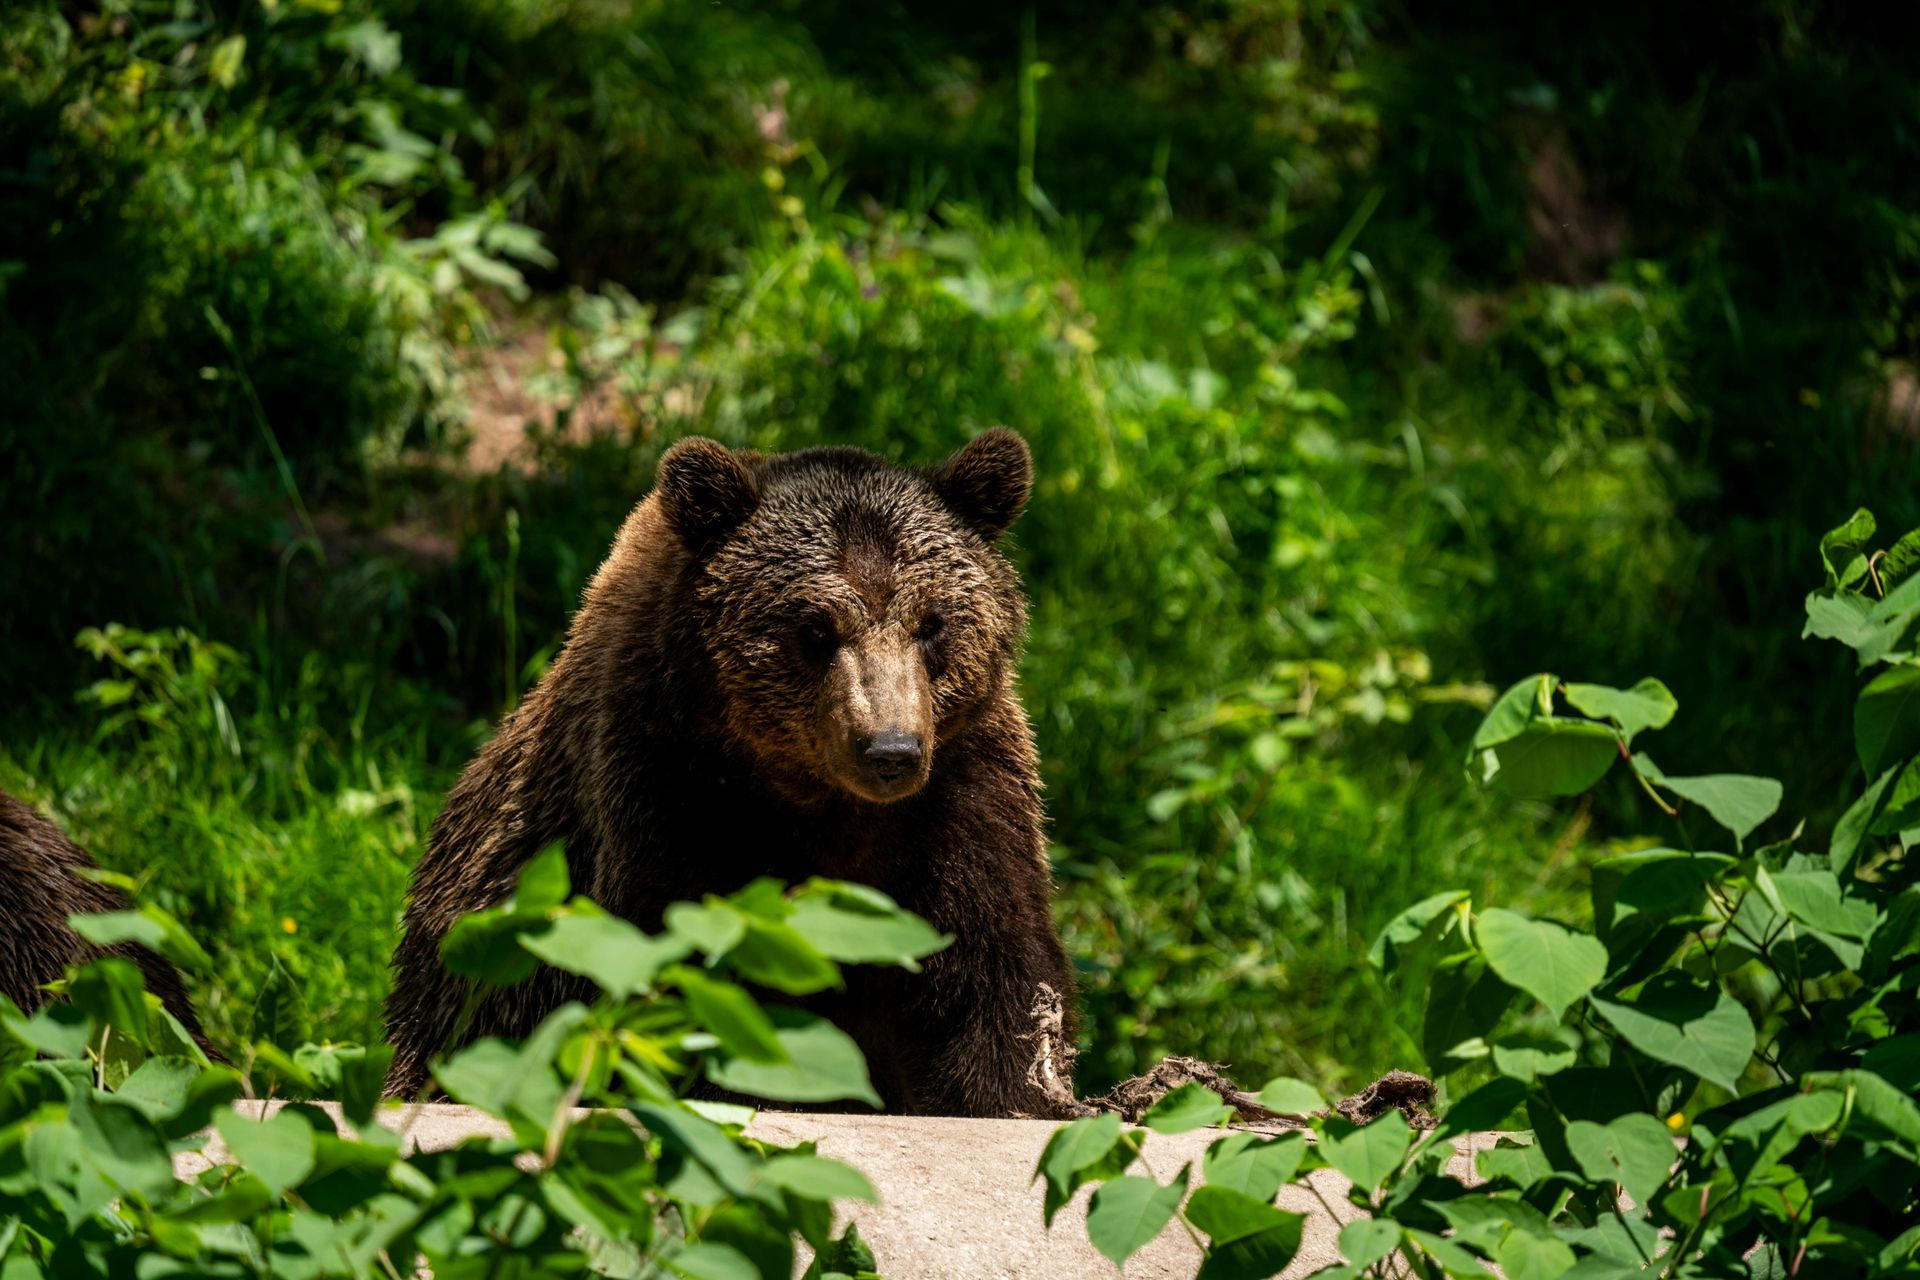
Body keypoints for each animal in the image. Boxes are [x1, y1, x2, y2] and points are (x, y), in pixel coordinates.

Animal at [383, 429, 1079, 1116]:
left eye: (932, 622)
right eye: (815, 628)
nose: (890, 751)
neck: (815, 799)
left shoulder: (960, 802)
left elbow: (993, 983)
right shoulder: (670, 793)